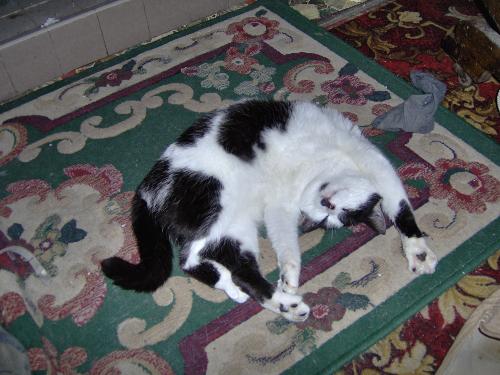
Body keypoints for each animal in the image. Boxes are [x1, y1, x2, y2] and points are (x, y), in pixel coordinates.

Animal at [102, 100, 438, 324]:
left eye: (338, 216)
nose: (326, 204)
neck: (313, 169)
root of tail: (147, 190)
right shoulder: (372, 162)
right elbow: (400, 205)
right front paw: (419, 250)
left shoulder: (280, 209)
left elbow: (287, 246)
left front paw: (289, 277)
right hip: (216, 199)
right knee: (199, 258)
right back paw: (286, 305)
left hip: (237, 229)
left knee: (215, 265)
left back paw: (272, 300)